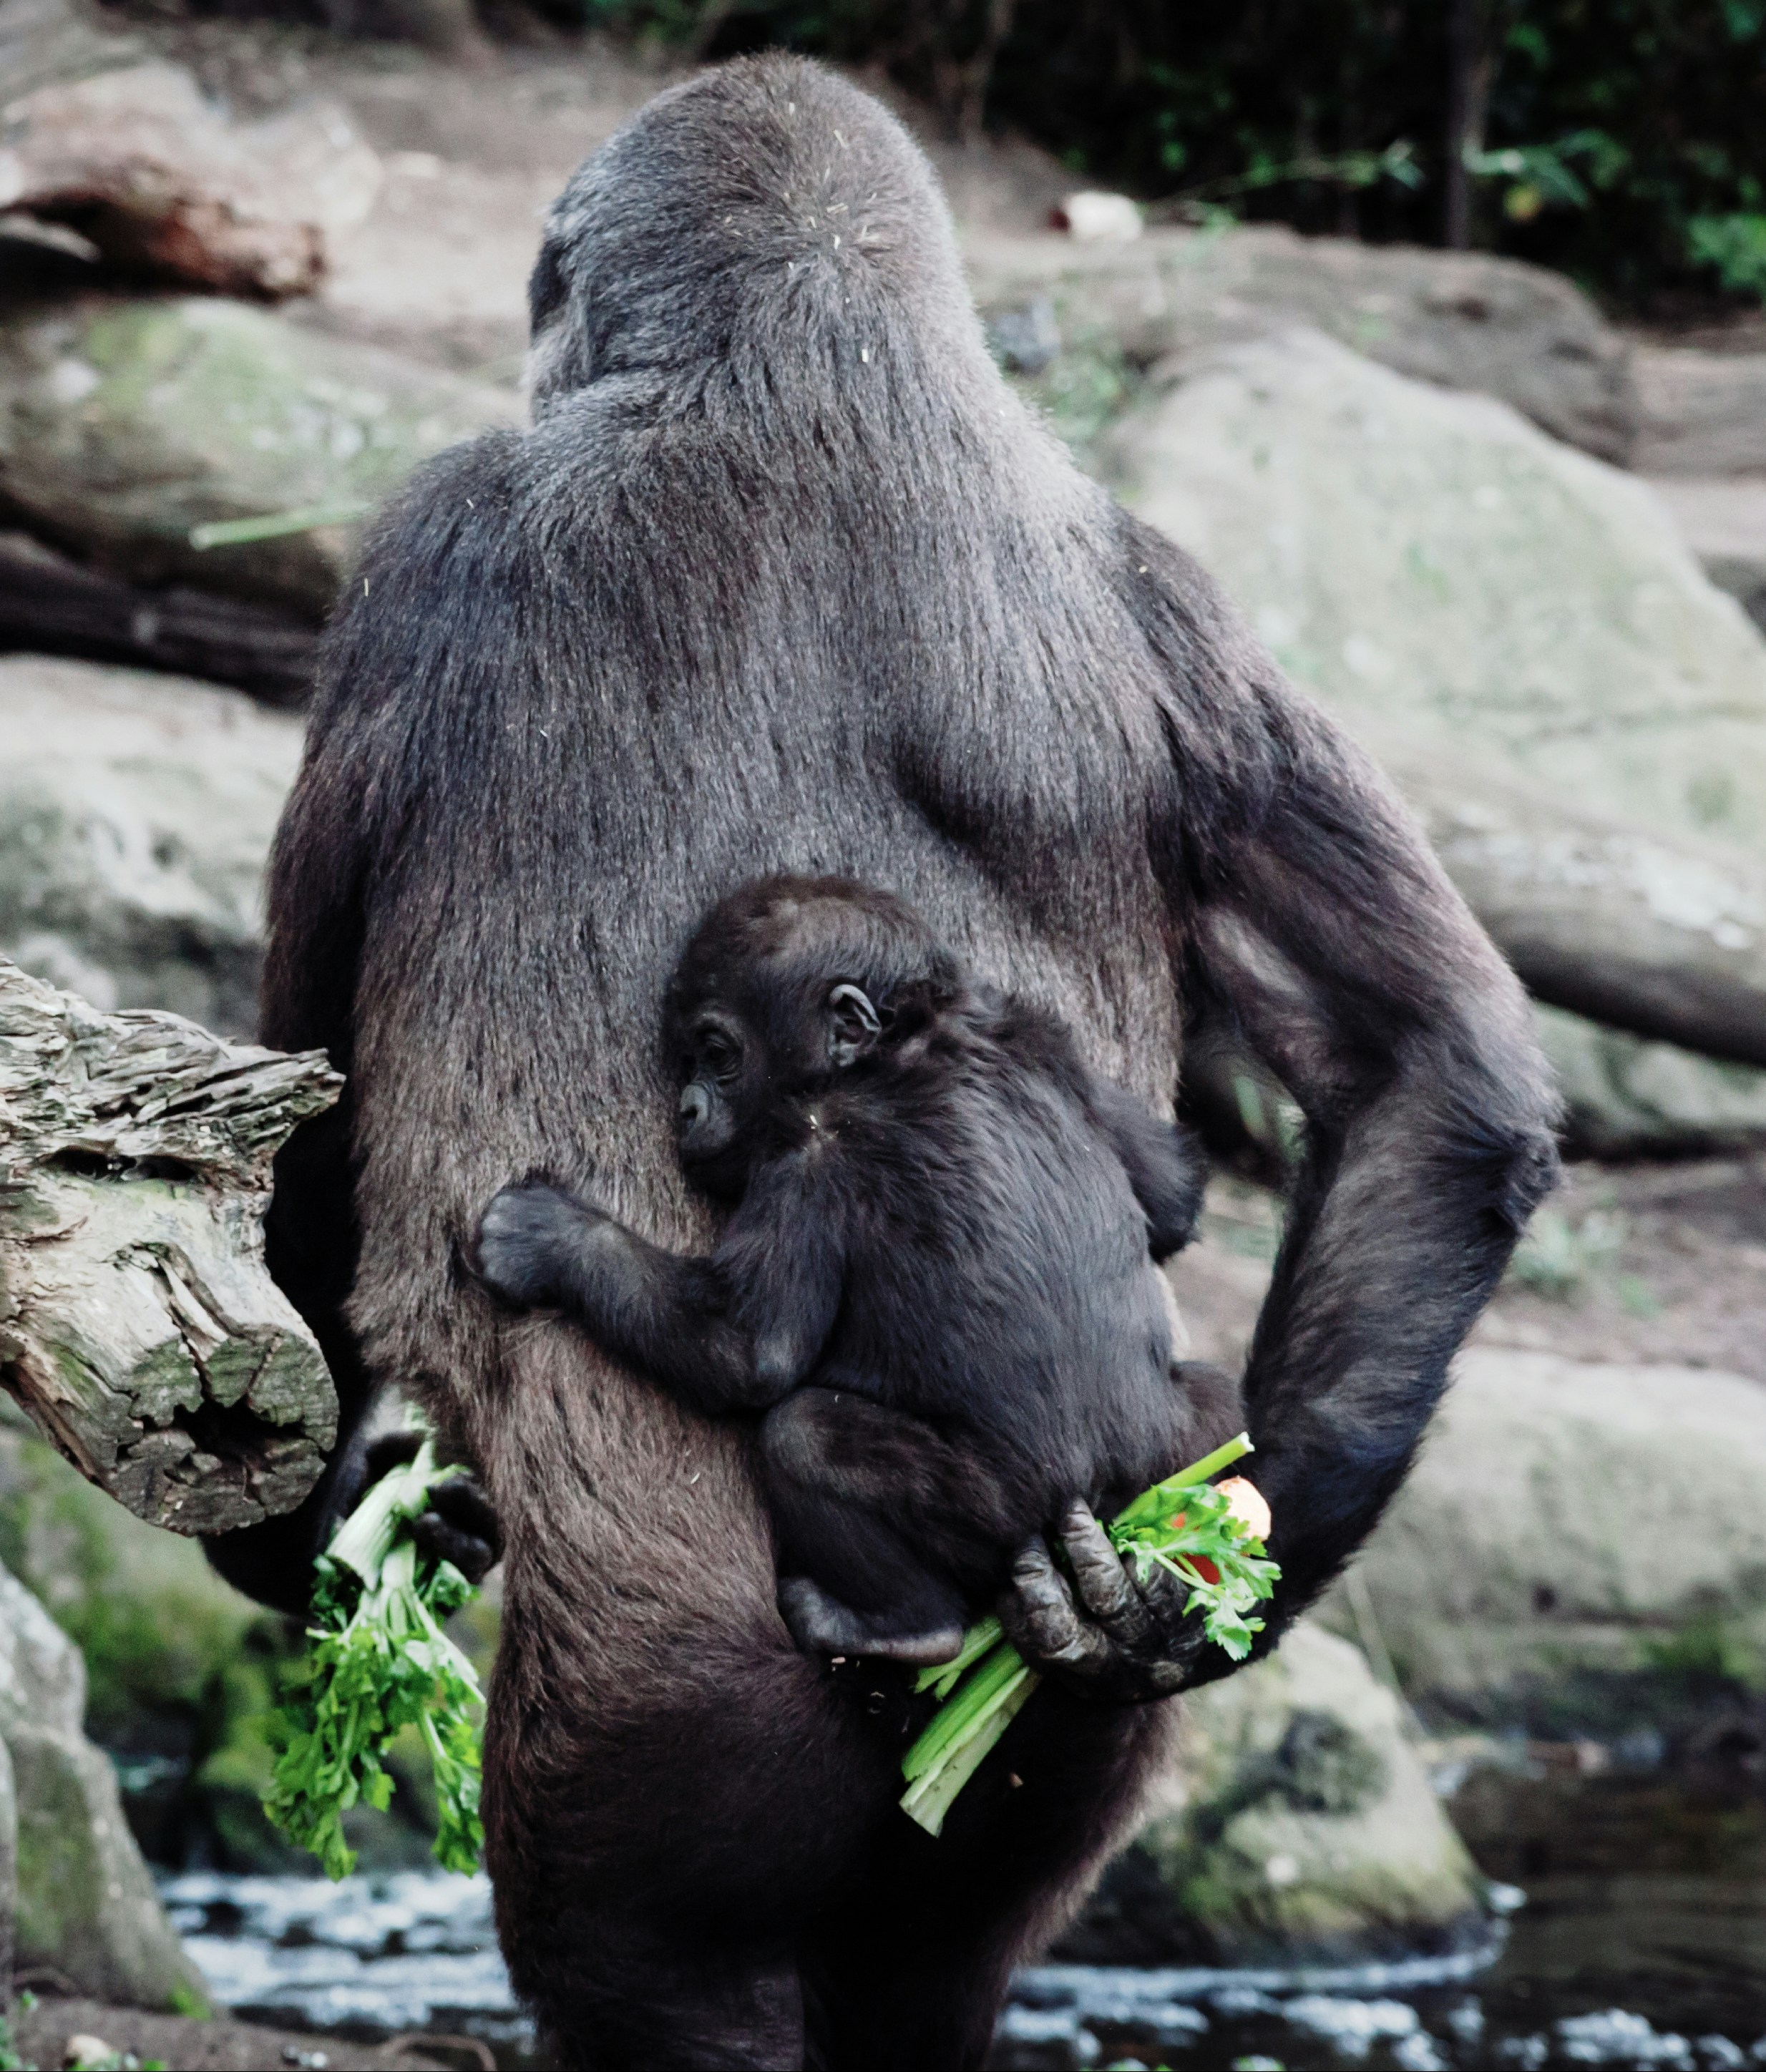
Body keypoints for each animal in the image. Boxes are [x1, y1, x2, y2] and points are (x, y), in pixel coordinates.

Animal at [471, 875, 1242, 1666]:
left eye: (715, 1052)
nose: (685, 1110)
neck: (900, 1044)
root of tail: (1102, 1499)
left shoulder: (807, 1153)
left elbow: (748, 1352)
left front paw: (550, 1238)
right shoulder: (1032, 1029)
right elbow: (1173, 1192)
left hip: (997, 1506)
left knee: (805, 1435)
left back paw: (904, 1625)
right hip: (1165, 1467)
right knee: (1218, 1408)